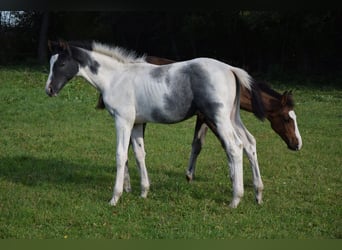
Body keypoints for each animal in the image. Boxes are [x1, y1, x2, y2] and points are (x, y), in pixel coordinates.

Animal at [44, 40, 266, 208]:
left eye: (61, 64)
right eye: (51, 63)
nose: (49, 90)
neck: (116, 78)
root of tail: (230, 68)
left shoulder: (122, 120)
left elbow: (121, 155)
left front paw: (115, 197)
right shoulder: (136, 123)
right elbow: (139, 154)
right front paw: (143, 192)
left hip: (219, 117)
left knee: (235, 147)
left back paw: (235, 200)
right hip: (232, 117)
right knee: (250, 143)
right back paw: (258, 194)